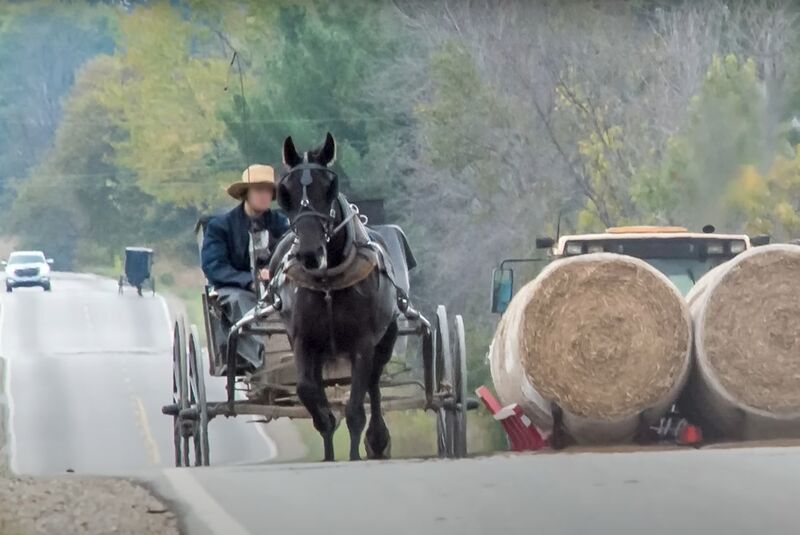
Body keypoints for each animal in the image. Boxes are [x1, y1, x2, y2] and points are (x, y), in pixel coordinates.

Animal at [274, 133, 400, 460]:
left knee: (373, 384)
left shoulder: (363, 344)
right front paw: (327, 426)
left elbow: (356, 407)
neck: (329, 281)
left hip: (385, 341)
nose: (309, 253)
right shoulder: (303, 342)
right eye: (286, 191)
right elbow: (307, 391)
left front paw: (356, 453)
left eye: (329, 187)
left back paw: (378, 439)